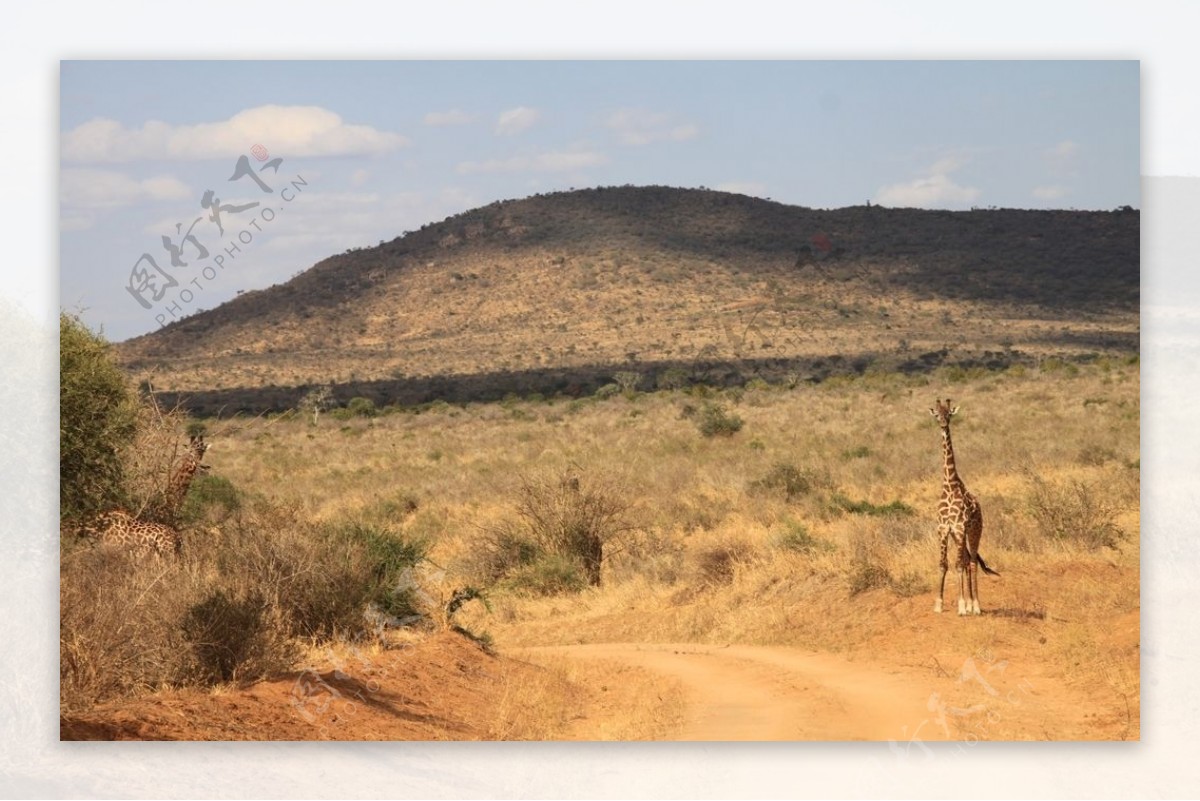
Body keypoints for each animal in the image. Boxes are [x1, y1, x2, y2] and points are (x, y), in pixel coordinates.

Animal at [931, 398, 998, 618]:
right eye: (937, 414)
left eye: (949, 414)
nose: (943, 425)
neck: (950, 485)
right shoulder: (944, 529)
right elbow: (943, 564)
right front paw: (939, 604)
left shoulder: (960, 527)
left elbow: (958, 564)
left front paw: (961, 606)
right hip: (958, 535)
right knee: (969, 559)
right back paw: (970, 604)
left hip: (975, 531)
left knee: (972, 561)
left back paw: (975, 606)